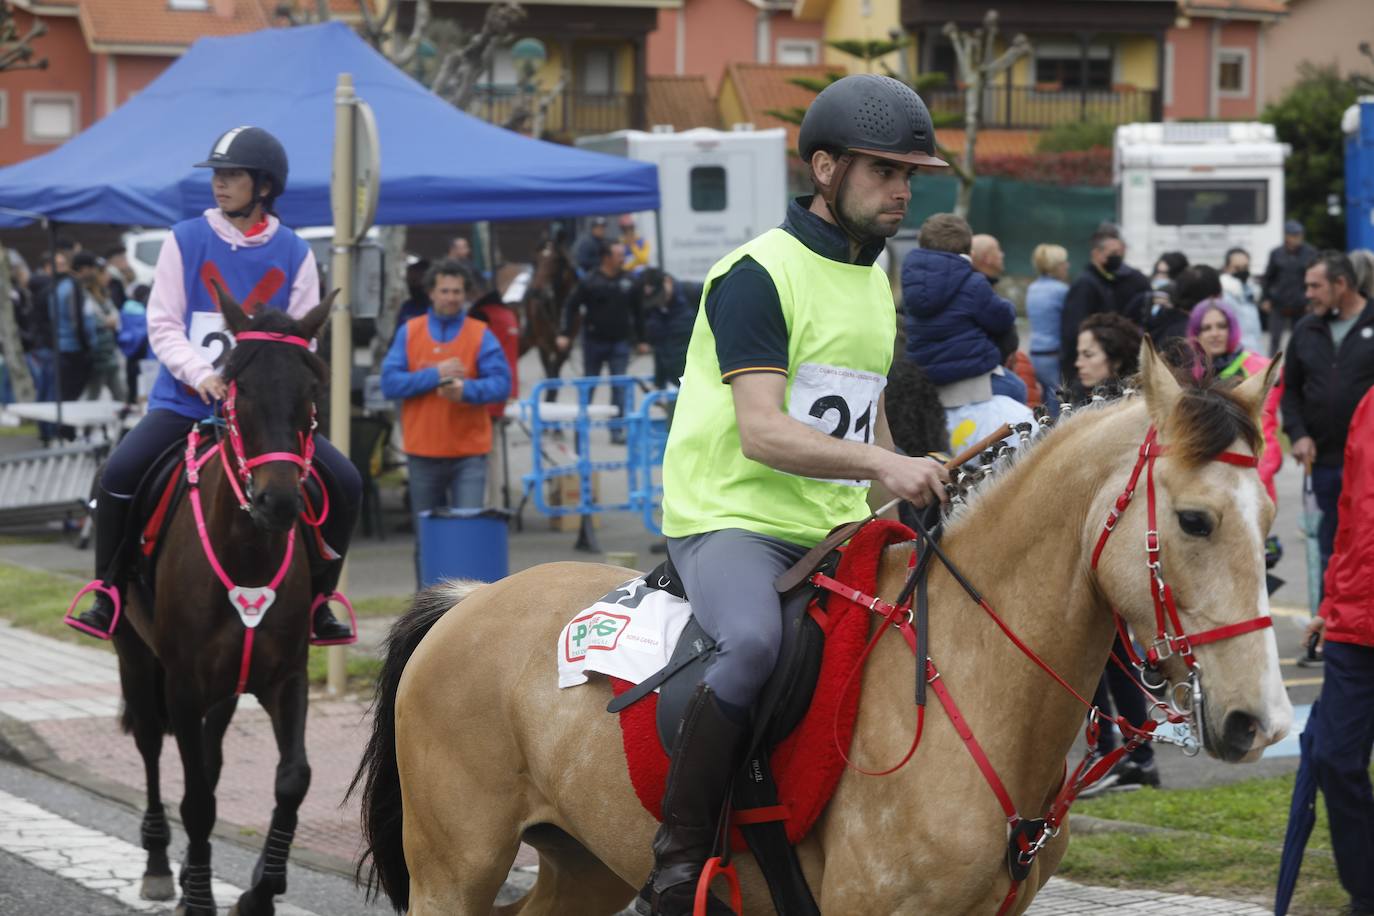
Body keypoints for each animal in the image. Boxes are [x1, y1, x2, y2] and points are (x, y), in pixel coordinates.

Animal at [114, 288, 332, 916]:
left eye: (311, 394)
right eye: (238, 393)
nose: (279, 501)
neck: (247, 557)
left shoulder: (286, 677)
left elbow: (292, 779)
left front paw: (260, 889)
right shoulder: (184, 685)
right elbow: (197, 800)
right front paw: (199, 898)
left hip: (227, 688)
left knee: (209, 762)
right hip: (135, 656)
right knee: (152, 749)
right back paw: (160, 865)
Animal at [351, 340, 1286, 911]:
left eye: (1270, 518)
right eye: (1196, 521)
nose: (1260, 722)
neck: (974, 681)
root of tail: (467, 601)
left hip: (582, 862)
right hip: (453, 871)